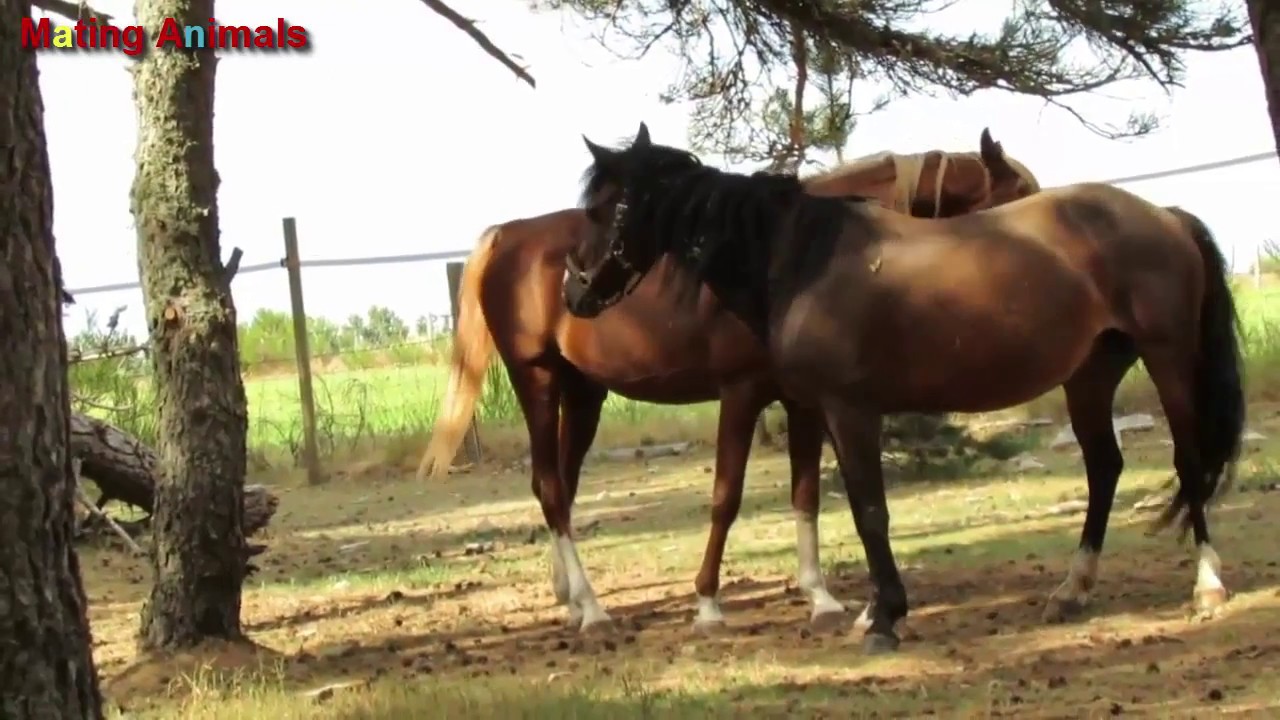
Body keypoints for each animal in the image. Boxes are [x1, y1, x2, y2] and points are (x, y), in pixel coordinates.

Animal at [418, 128, 1041, 634]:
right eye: (1019, 203)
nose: (578, 286)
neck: (784, 257)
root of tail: (507, 236)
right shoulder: (741, 394)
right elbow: (726, 497)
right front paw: (708, 605)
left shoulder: (805, 403)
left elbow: (807, 494)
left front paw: (821, 599)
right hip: (538, 381)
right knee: (550, 488)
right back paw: (593, 611)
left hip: (584, 392)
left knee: (559, 487)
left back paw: (572, 600)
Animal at [561, 123, 1245, 653]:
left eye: (598, 212)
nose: (574, 292)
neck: (802, 258)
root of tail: (1164, 217)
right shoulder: (830, 412)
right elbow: (858, 507)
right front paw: (871, 609)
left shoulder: (849, 408)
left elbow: (870, 511)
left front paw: (884, 618)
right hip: (1091, 376)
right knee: (1105, 467)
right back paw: (1072, 589)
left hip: (1168, 357)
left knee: (1189, 461)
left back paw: (1208, 585)